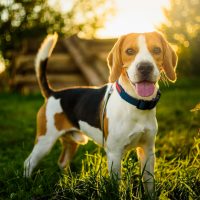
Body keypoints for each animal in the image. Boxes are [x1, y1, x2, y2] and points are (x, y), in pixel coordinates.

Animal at [24, 32, 177, 195]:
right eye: (129, 51)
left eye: (156, 50)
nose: (145, 67)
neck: (136, 104)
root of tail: (53, 93)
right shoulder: (114, 154)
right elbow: (115, 186)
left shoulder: (147, 150)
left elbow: (149, 183)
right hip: (45, 141)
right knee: (28, 163)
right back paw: (27, 185)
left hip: (71, 142)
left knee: (62, 162)